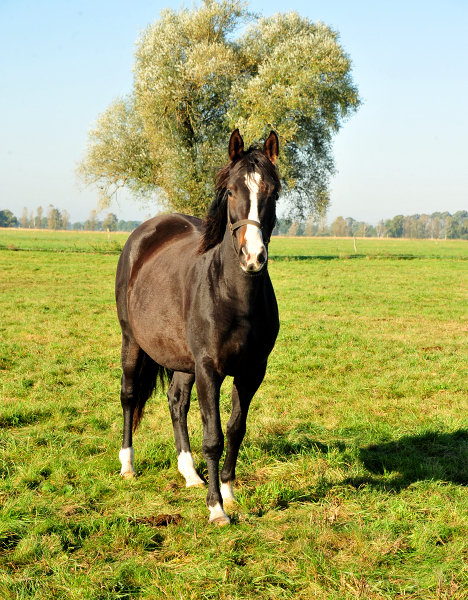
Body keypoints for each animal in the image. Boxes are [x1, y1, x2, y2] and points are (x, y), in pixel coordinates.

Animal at [116, 127, 282, 524]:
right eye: (231, 191)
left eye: (273, 192)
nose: (253, 257)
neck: (235, 297)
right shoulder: (209, 369)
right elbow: (214, 438)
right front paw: (216, 509)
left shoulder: (251, 371)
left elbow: (235, 431)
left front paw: (229, 493)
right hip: (132, 341)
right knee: (129, 396)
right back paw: (128, 465)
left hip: (182, 361)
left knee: (177, 403)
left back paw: (190, 473)